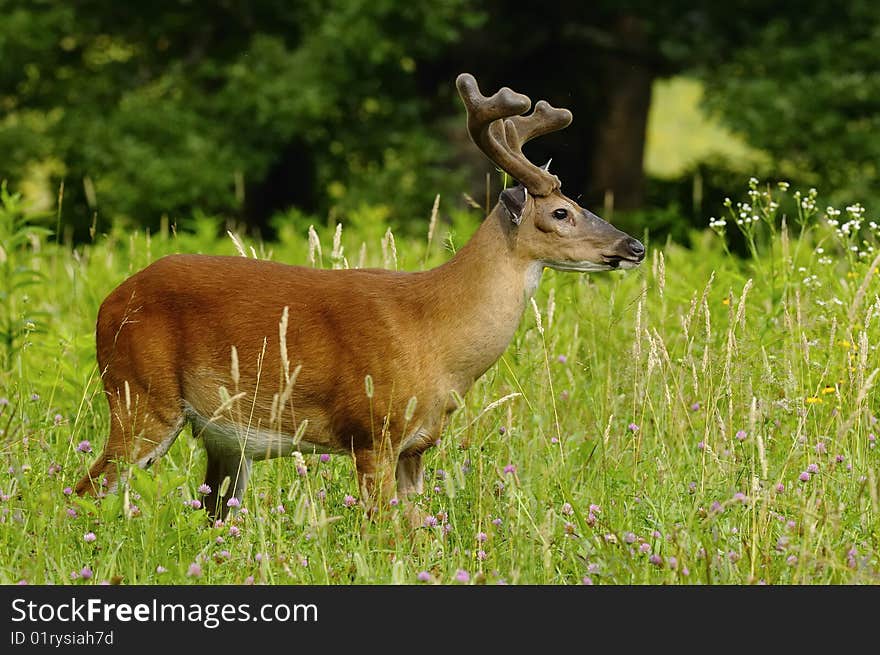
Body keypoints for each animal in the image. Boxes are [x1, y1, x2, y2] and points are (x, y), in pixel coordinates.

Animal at [75, 73, 648, 524]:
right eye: (560, 212)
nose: (634, 246)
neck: (436, 333)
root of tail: (108, 303)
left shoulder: (417, 445)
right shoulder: (373, 431)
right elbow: (384, 532)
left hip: (219, 437)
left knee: (210, 510)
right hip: (140, 396)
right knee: (85, 490)